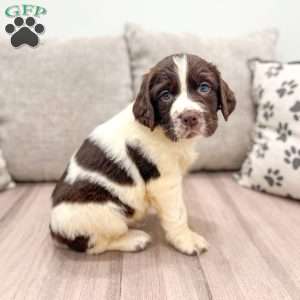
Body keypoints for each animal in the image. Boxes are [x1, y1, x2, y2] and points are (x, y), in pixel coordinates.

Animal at [49, 52, 237, 254]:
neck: (163, 131)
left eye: (204, 88)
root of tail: (54, 232)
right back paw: (134, 239)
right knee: (95, 244)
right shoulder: (164, 183)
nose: (189, 118)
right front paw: (186, 240)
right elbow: (178, 213)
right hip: (104, 214)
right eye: (165, 95)